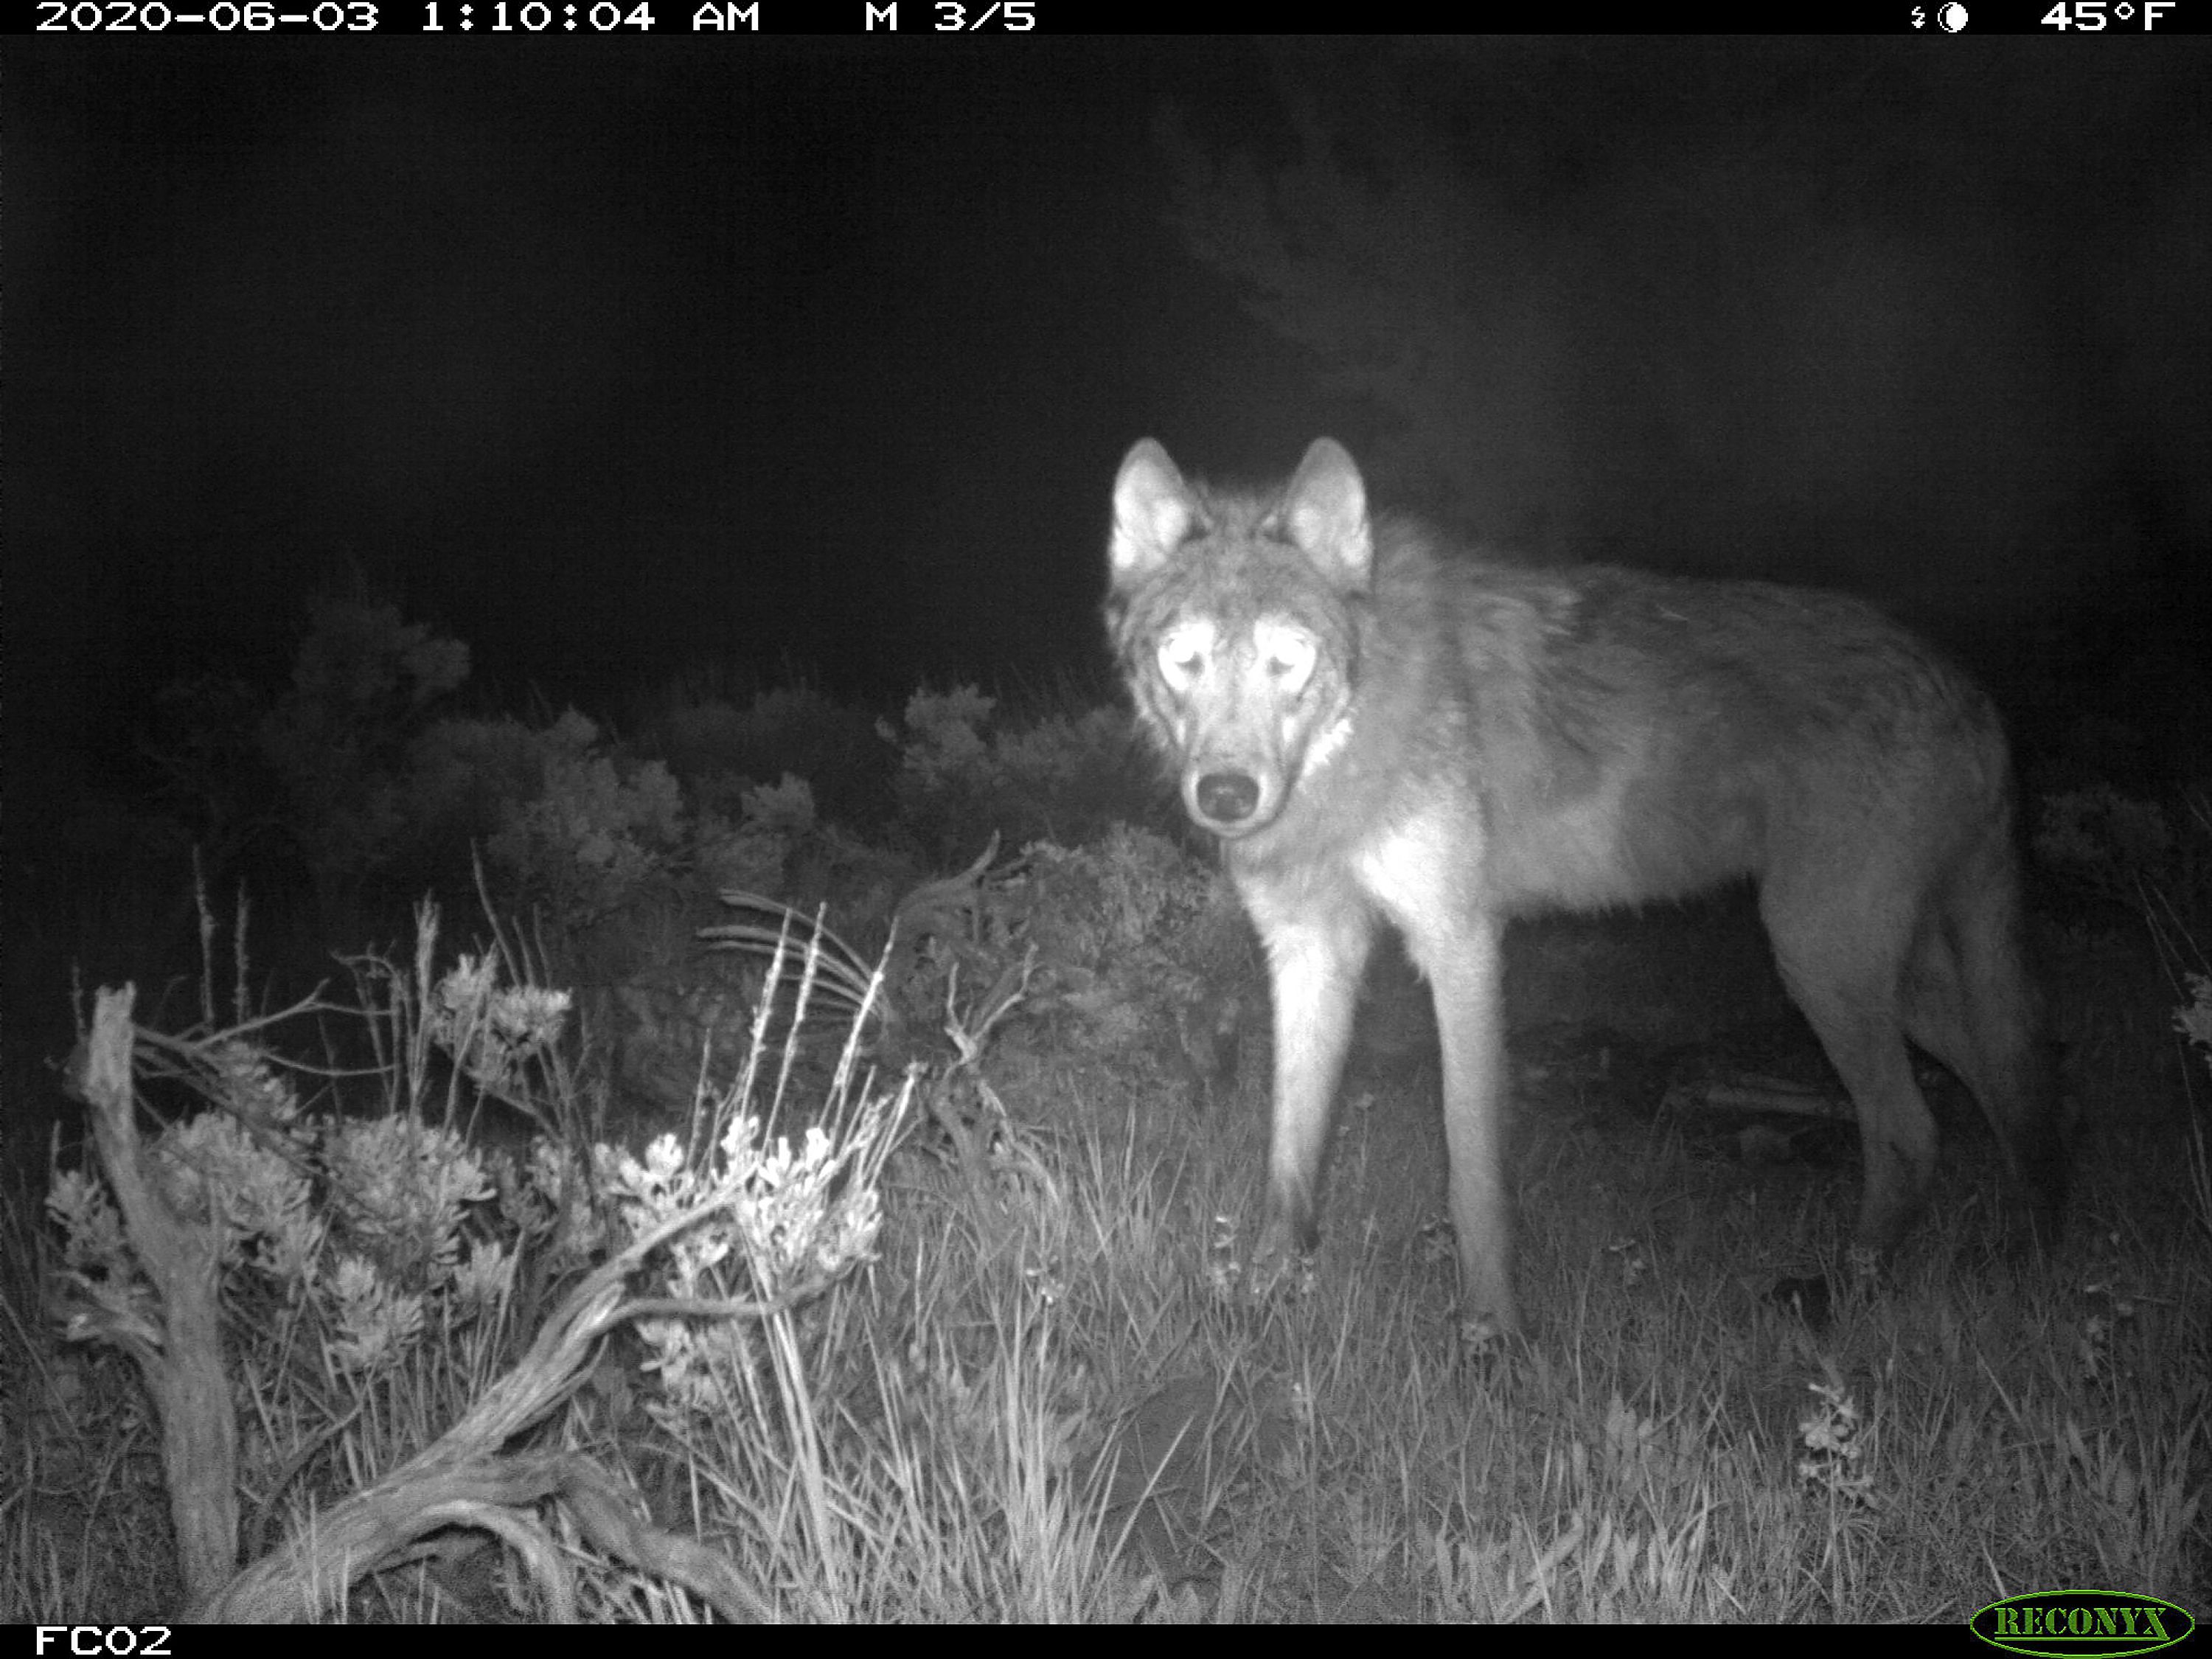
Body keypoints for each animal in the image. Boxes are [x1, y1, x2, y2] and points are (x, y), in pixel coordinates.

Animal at [1115, 438, 2062, 1336]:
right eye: (1181, 659)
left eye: (1290, 659)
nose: (1226, 795)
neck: (1353, 739)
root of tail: (1969, 690)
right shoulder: (1310, 952)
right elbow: (1289, 1158)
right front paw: (1261, 1298)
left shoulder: (1459, 943)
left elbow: (1472, 1171)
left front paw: (1494, 1334)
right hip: (1884, 981)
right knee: (2009, 1090)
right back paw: (2019, 1253)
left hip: (1819, 959)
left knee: (1913, 1129)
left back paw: (1850, 1293)